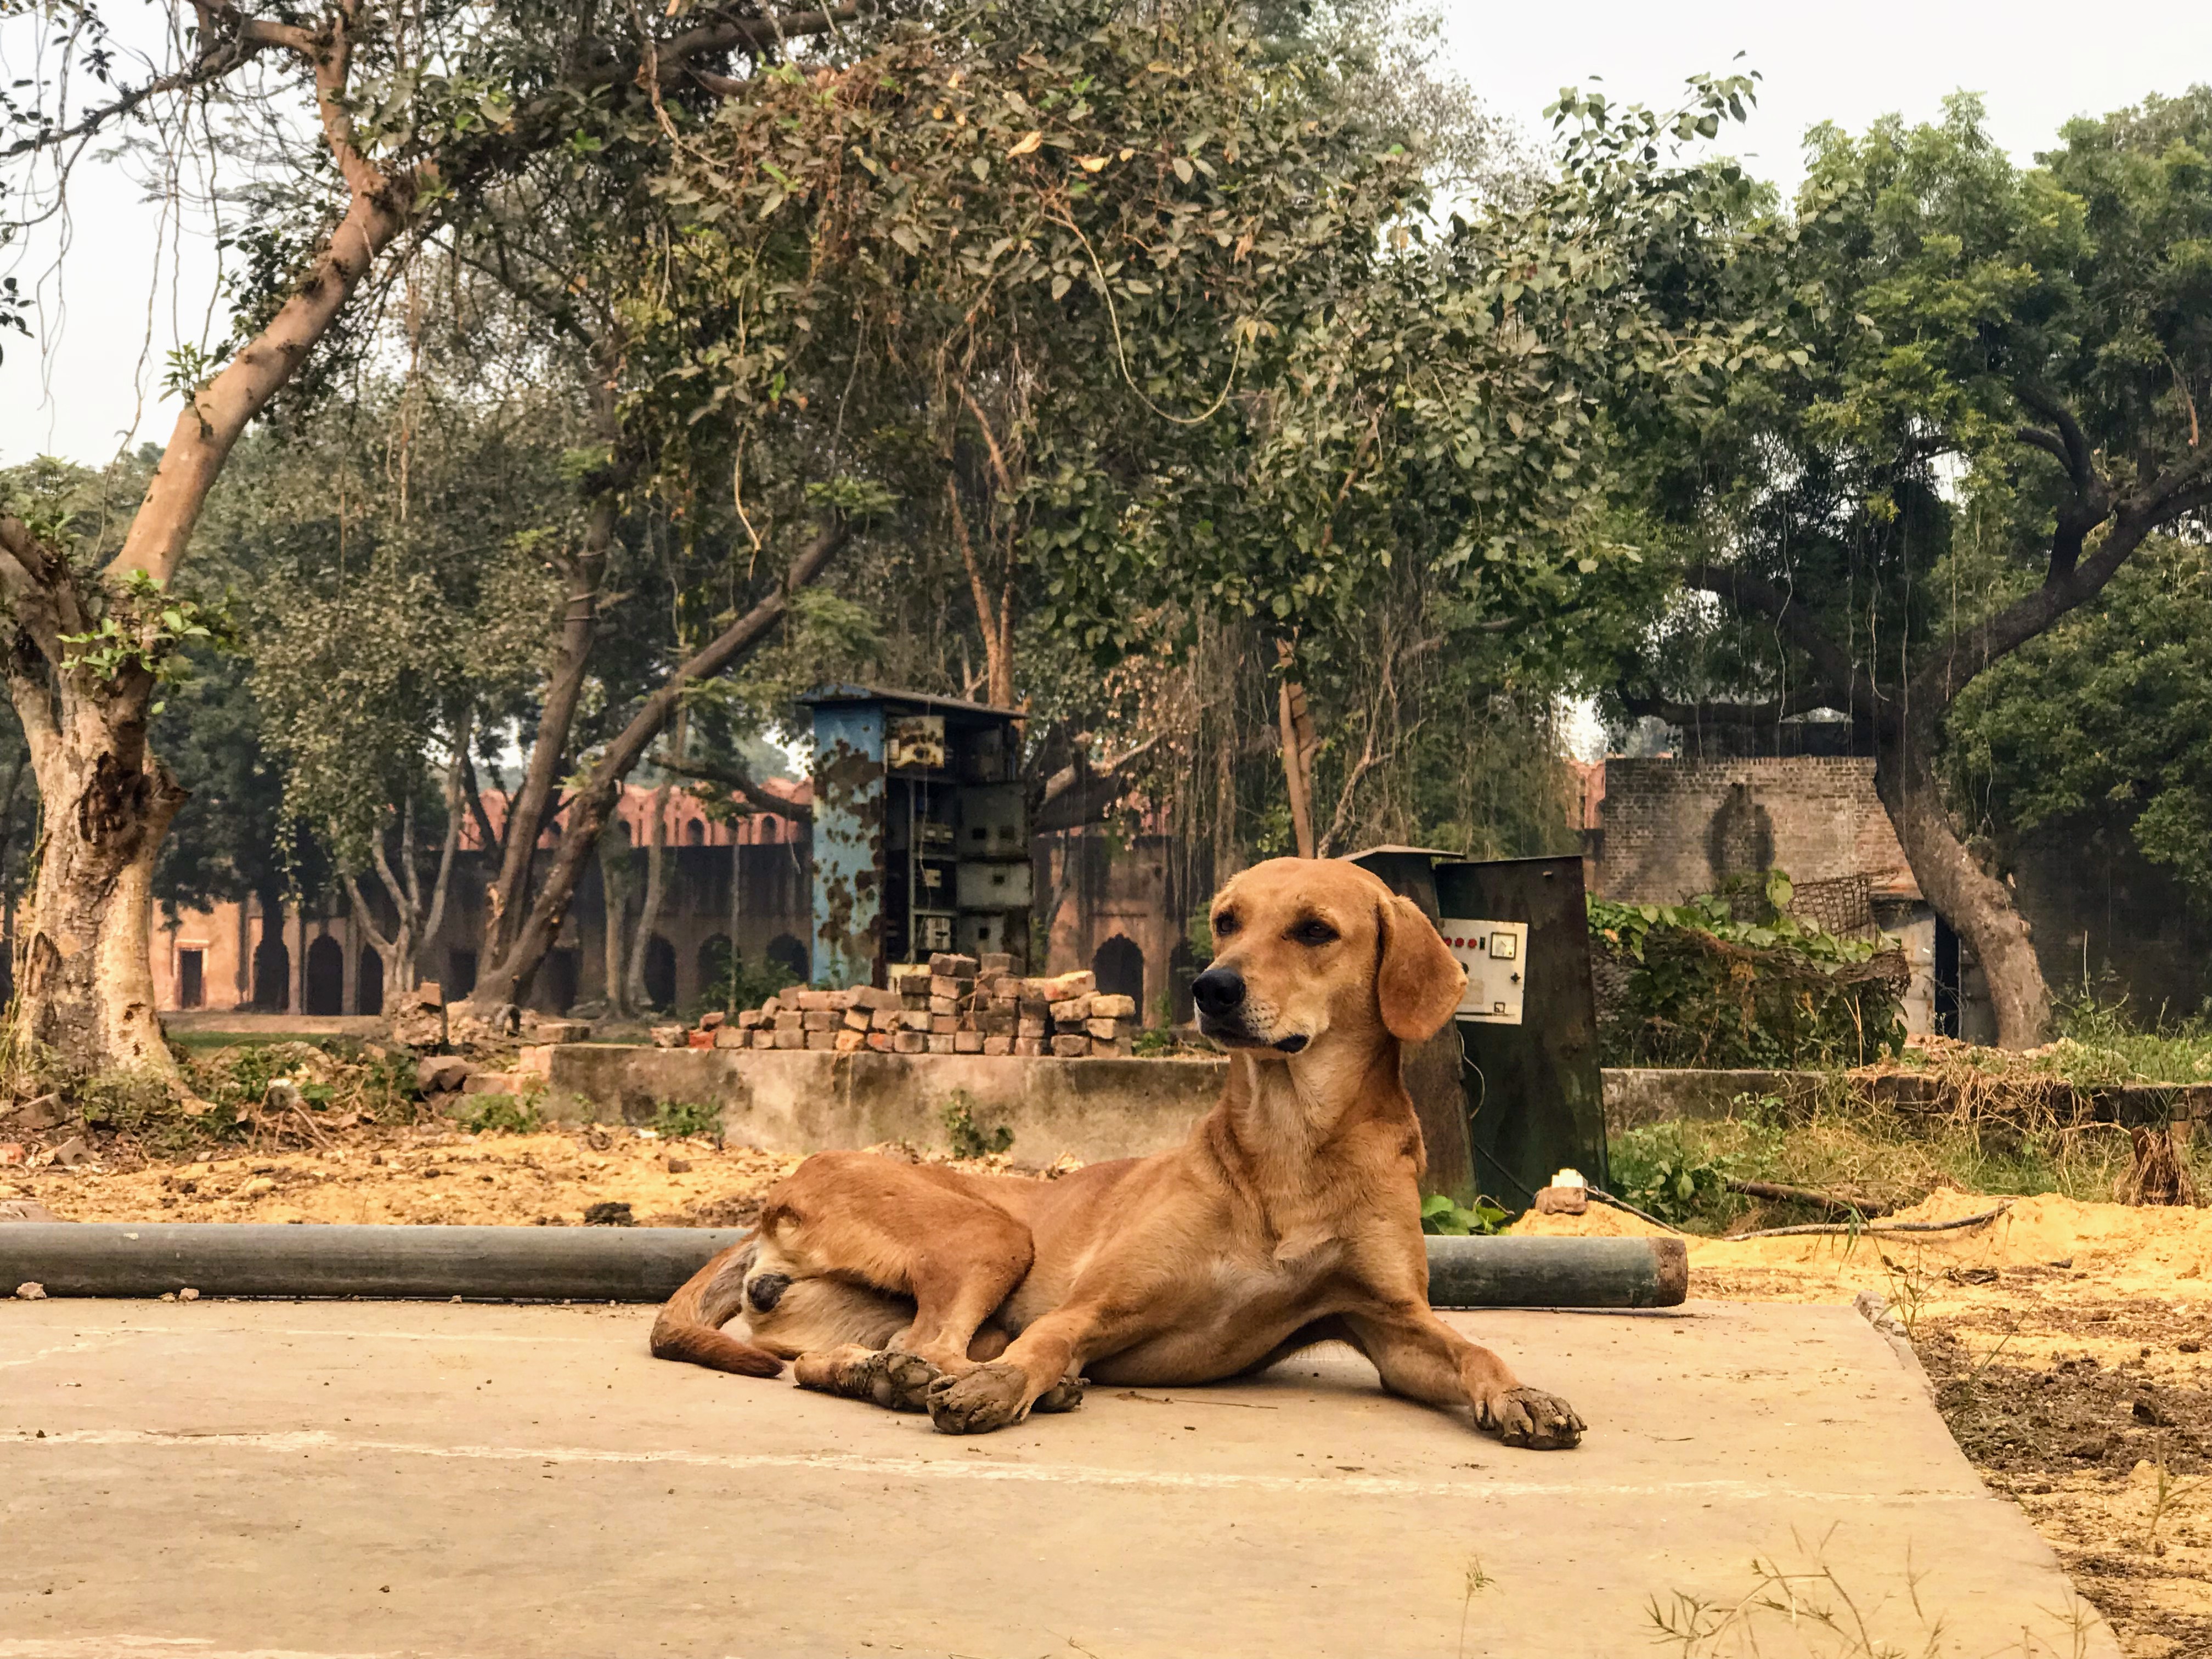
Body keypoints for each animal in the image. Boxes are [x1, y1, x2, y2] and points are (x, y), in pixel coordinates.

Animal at [646, 862, 1583, 1451]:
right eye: (1227, 920)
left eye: (1316, 930)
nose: (1212, 986)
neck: (1291, 1146)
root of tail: (776, 1195)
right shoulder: (1094, 1306)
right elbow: (1047, 1343)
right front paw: (1005, 1387)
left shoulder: (1394, 1327)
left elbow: (1474, 1352)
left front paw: (1522, 1392)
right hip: (990, 1235)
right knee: (936, 1347)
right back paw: (937, 1382)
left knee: (843, 1359)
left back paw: (887, 1376)